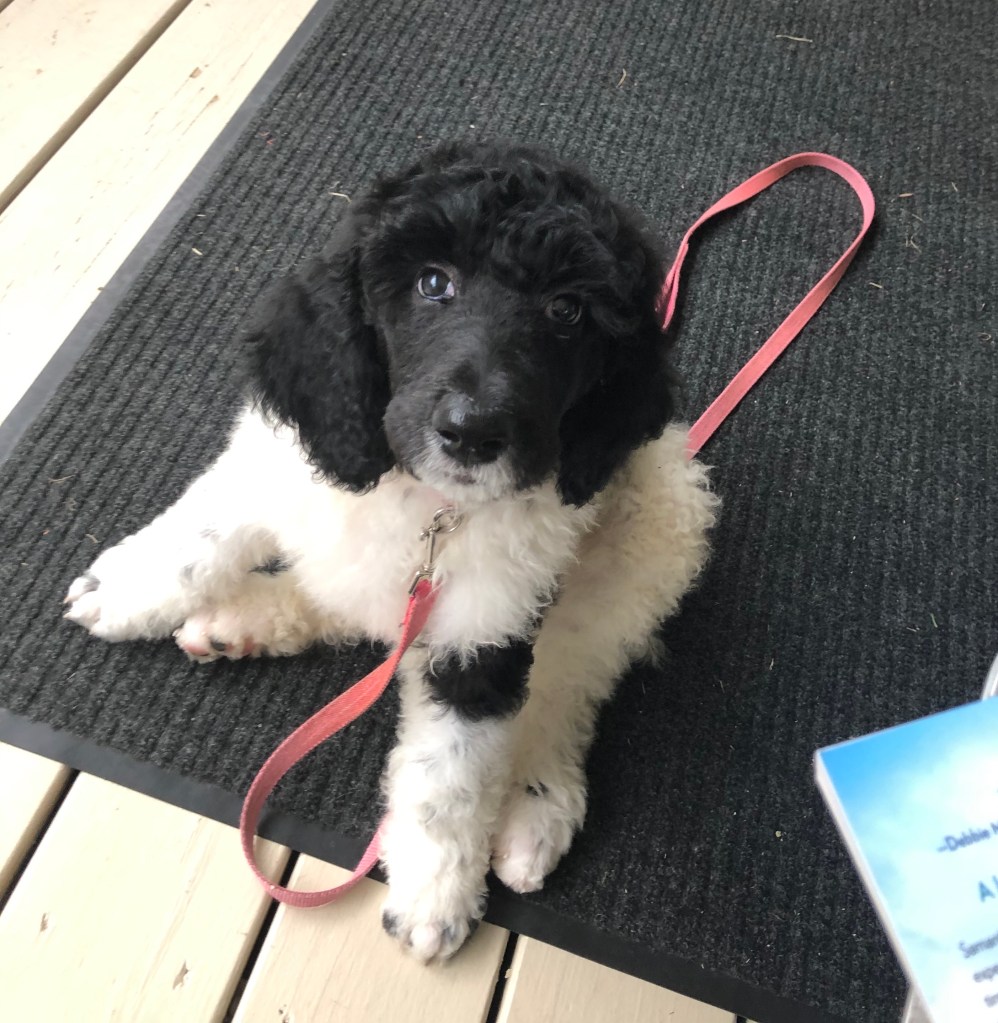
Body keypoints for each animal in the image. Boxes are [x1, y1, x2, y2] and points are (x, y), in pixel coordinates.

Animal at [63, 140, 718, 961]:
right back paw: (239, 620)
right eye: (432, 282)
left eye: (567, 312)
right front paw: (123, 589)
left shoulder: (482, 632)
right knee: (343, 602)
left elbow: (450, 775)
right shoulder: (281, 460)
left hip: (650, 533)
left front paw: (434, 893)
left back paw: (536, 804)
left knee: (570, 680)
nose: (473, 432)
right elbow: (204, 532)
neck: (428, 507)